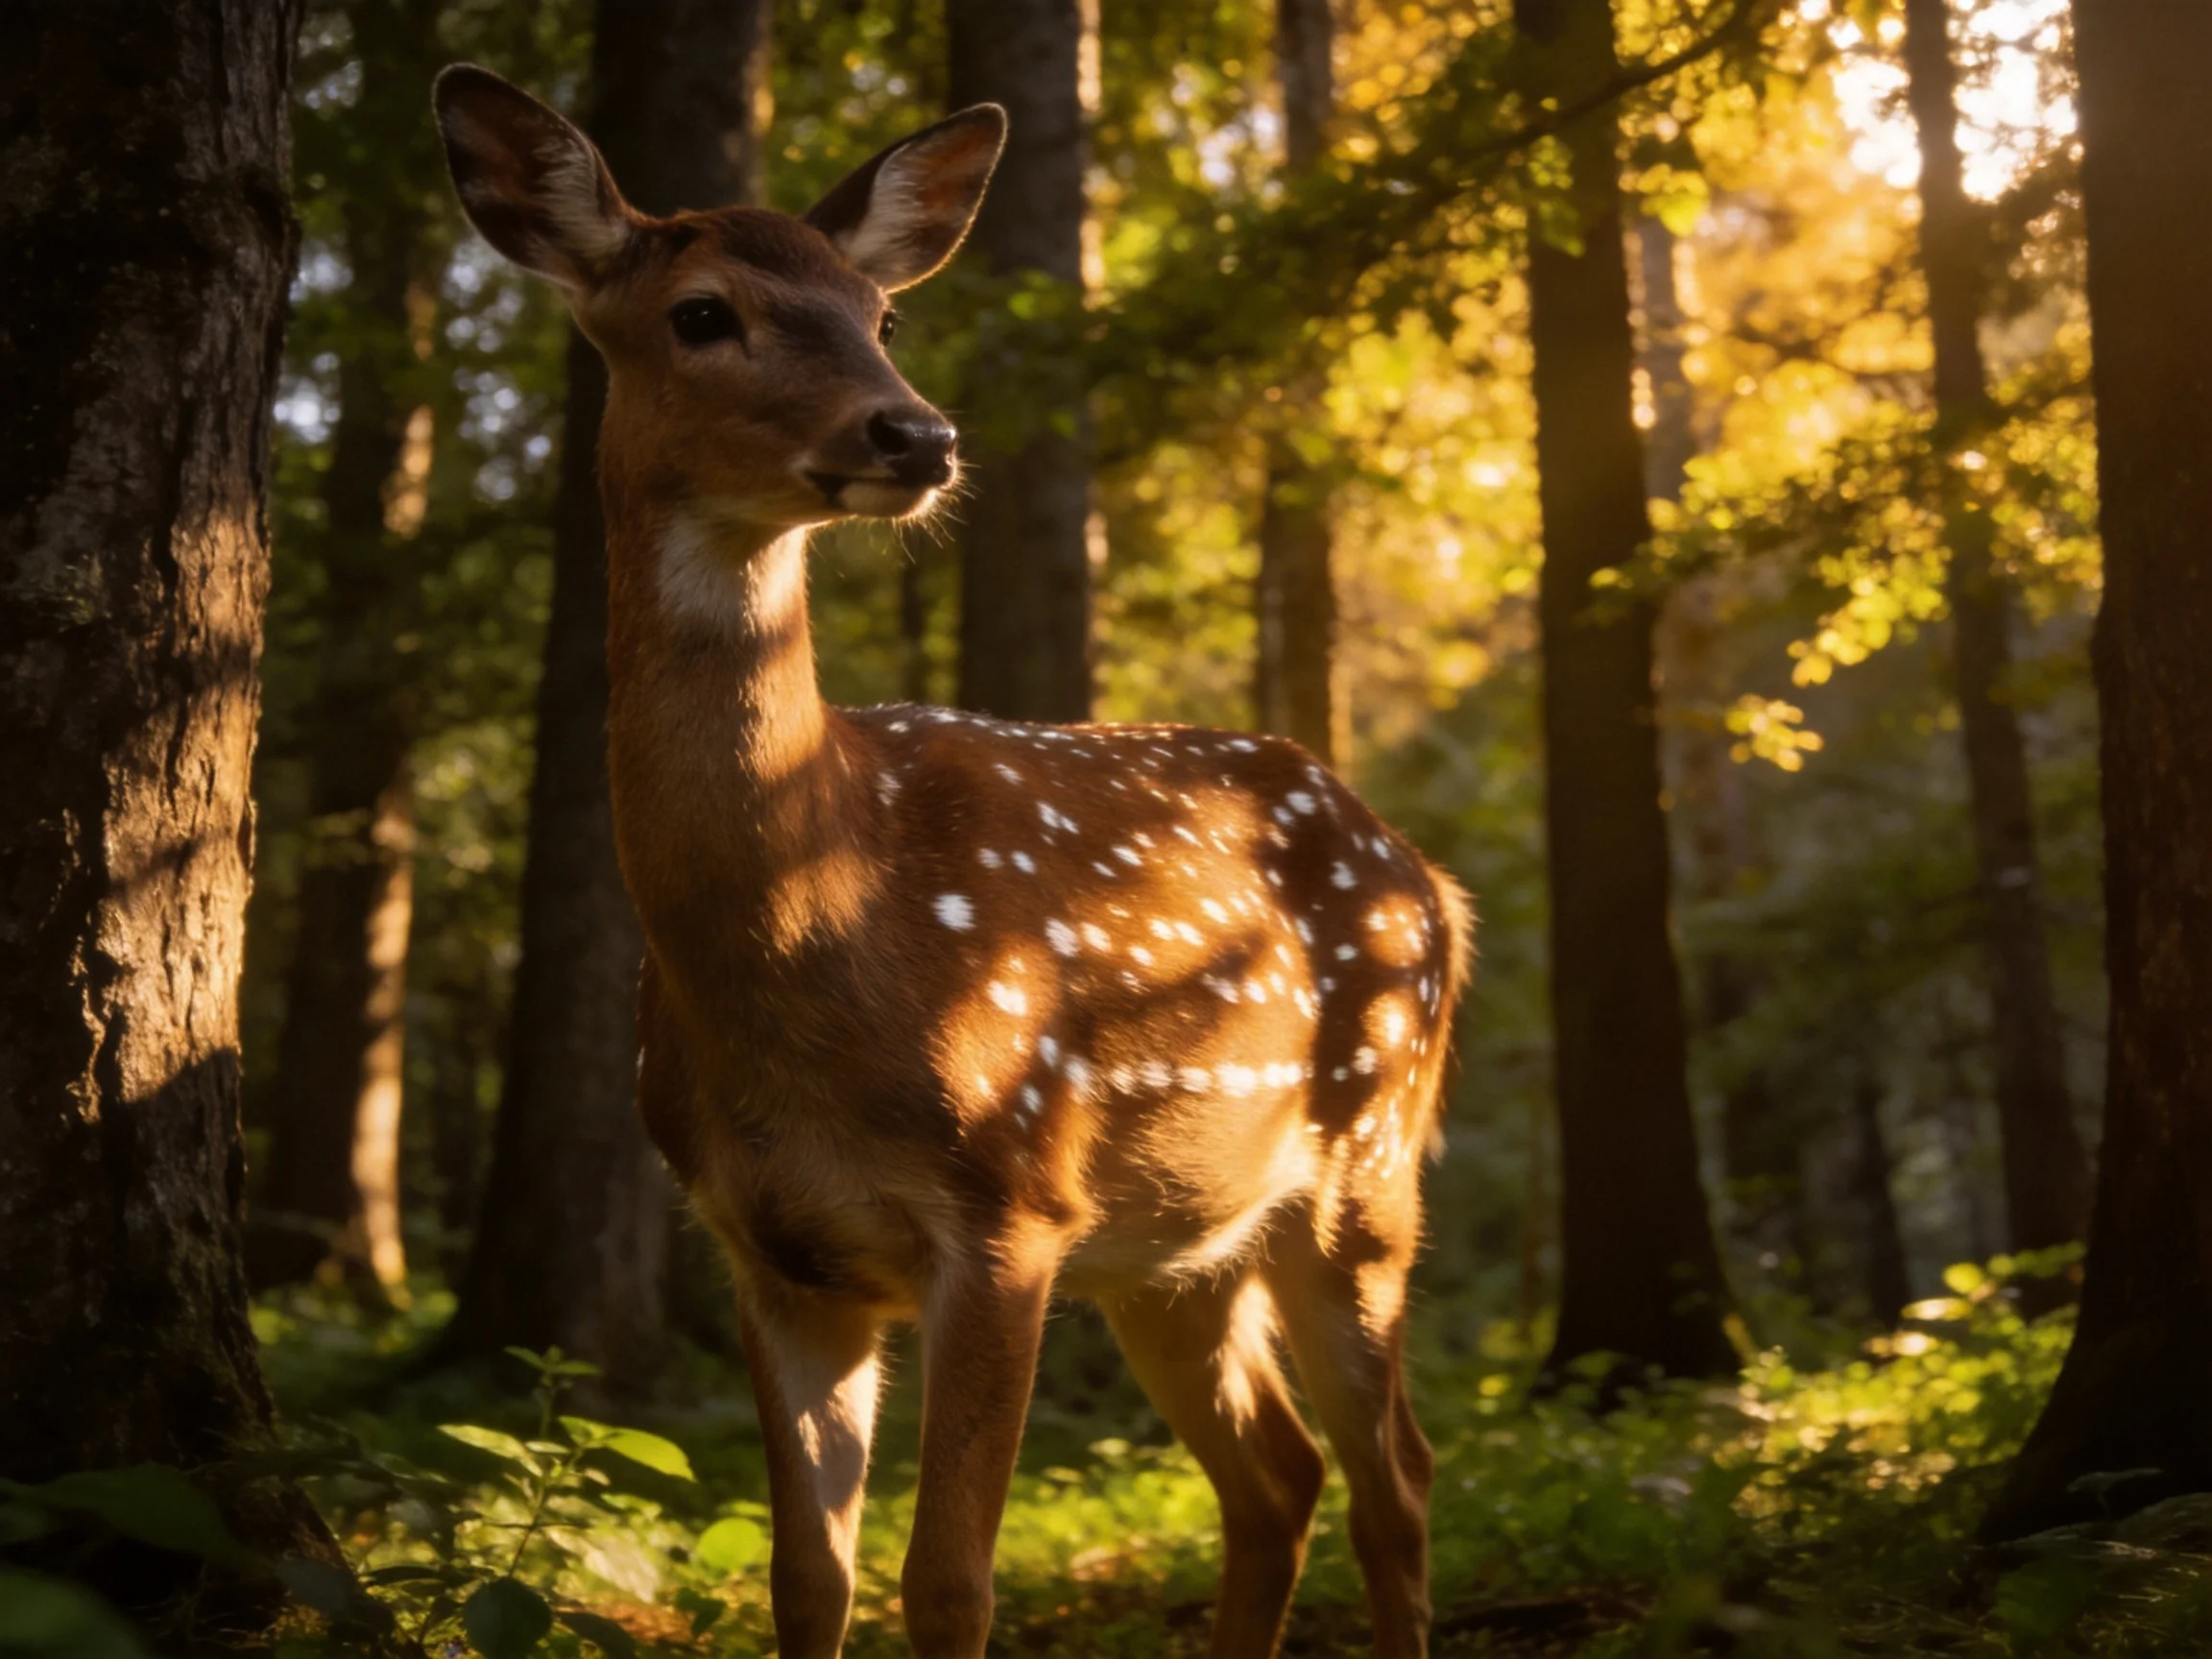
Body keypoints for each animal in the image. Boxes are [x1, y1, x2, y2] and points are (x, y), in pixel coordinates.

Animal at [434, 65, 1473, 1659]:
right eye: (702, 313)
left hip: (1363, 1161)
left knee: (1397, 1475)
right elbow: (810, 1578)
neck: (822, 929)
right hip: (1174, 1246)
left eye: (883, 314)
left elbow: (948, 1582)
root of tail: (1436, 883)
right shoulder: (773, 1252)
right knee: (1279, 1475)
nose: (914, 436)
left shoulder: (1010, 1206)